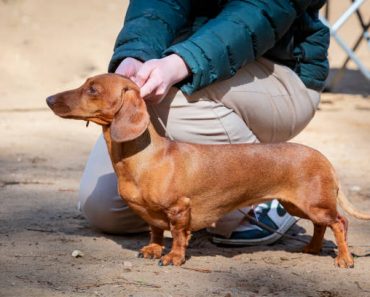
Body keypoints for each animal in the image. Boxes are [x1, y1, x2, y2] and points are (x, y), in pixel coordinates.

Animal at [46, 73, 370, 268]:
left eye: (93, 89)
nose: (48, 99)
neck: (145, 157)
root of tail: (324, 157)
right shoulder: (151, 214)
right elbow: (154, 231)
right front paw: (153, 250)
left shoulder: (179, 209)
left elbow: (177, 236)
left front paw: (173, 257)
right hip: (298, 205)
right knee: (321, 226)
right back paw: (312, 248)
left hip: (314, 204)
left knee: (340, 223)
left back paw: (344, 259)